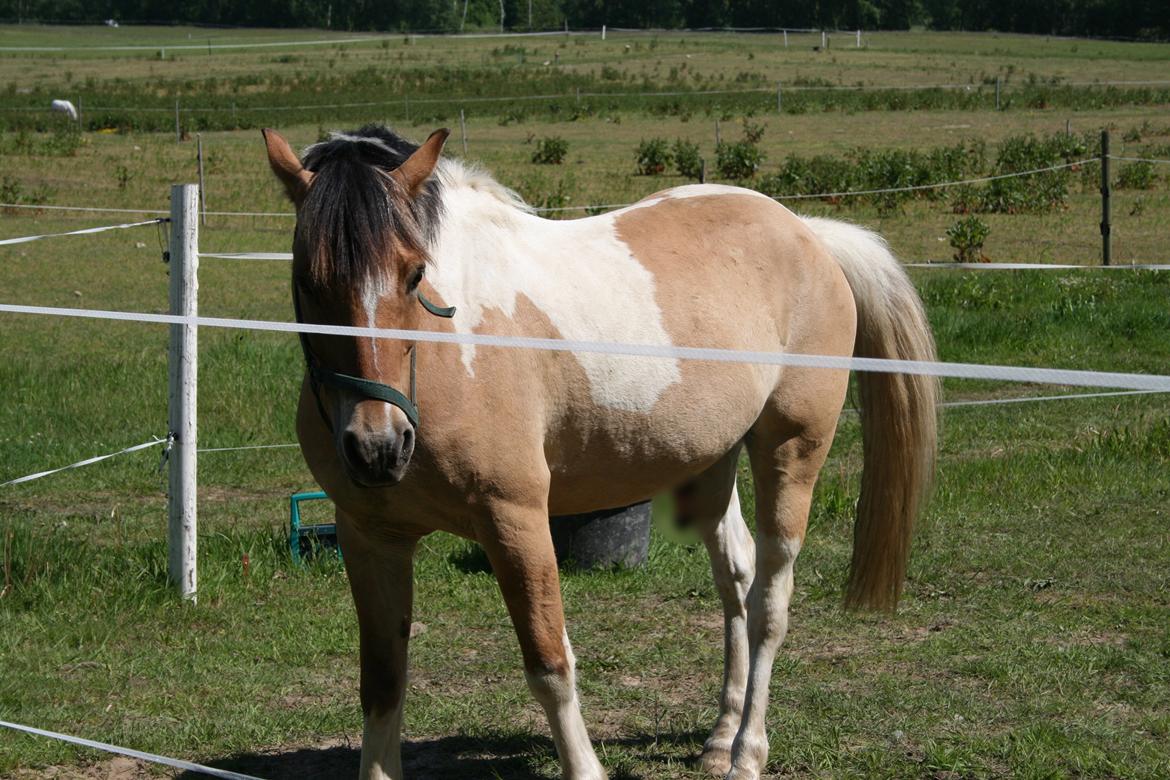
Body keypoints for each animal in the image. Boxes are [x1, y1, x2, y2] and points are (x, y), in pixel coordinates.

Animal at [262, 123, 938, 780]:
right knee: (736, 580)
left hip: (790, 449)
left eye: (413, 273)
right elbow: (381, 683)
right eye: (307, 280)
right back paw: (720, 738)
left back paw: (748, 751)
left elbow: (550, 664)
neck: (441, 351)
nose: (378, 447)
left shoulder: (515, 520)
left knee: (769, 599)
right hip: (713, 461)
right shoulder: (371, 538)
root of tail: (808, 232)